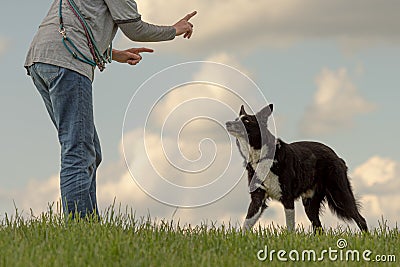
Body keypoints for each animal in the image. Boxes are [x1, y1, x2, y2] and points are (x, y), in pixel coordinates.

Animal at [223, 103, 368, 233]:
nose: (227, 123)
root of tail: (337, 156)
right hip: (310, 204)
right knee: (319, 228)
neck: (261, 155)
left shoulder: (288, 198)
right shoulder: (257, 198)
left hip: (340, 196)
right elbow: (247, 223)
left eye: (246, 120)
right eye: (236, 119)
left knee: (361, 219)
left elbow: (290, 227)